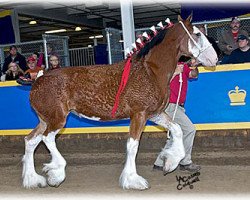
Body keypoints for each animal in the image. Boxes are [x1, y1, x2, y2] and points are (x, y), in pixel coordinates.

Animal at [22, 14, 217, 190]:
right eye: (197, 34)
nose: (215, 58)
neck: (150, 71)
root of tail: (38, 79)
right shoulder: (139, 115)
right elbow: (133, 146)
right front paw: (133, 180)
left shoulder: (155, 114)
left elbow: (176, 129)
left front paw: (170, 162)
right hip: (57, 119)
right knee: (47, 138)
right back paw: (56, 174)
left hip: (45, 120)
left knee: (31, 140)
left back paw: (33, 180)